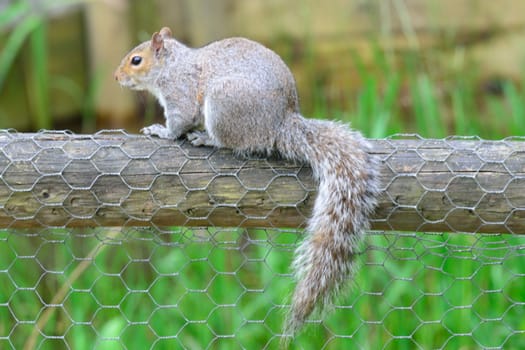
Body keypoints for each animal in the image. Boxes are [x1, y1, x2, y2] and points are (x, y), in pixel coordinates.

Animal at [113, 27, 376, 342]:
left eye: (136, 60)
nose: (116, 77)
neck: (172, 65)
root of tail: (280, 124)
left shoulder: (181, 92)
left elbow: (179, 122)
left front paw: (161, 131)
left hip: (224, 103)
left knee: (231, 142)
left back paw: (206, 138)